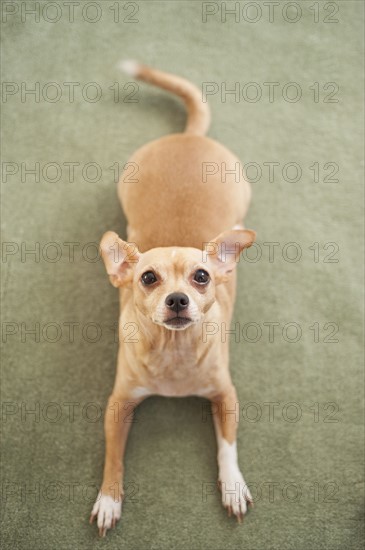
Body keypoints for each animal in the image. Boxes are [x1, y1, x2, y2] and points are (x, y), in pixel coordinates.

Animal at [90, 62, 256, 536]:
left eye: (202, 277)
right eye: (147, 278)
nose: (179, 300)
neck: (174, 352)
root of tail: (188, 135)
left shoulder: (227, 398)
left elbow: (227, 447)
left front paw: (232, 486)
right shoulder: (118, 405)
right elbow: (113, 457)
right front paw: (108, 499)